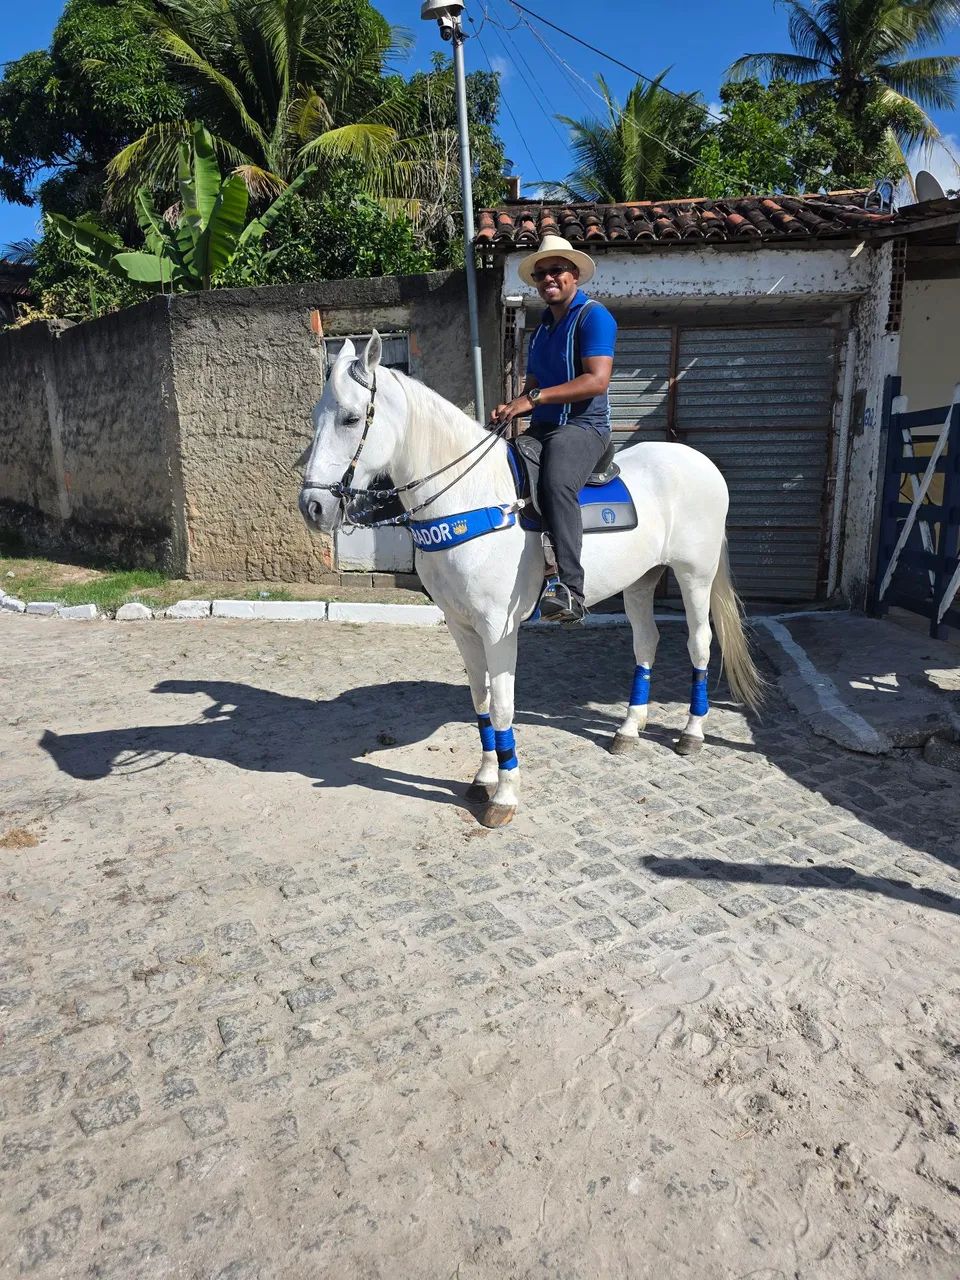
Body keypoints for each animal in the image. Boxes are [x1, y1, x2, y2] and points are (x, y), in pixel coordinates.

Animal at [299, 332, 763, 828]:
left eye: (350, 418)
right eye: (315, 416)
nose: (313, 507)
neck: (470, 498)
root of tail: (700, 463)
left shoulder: (497, 629)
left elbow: (503, 707)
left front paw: (505, 795)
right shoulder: (461, 626)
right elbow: (480, 700)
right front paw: (485, 777)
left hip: (695, 576)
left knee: (699, 644)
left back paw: (692, 733)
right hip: (641, 581)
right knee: (647, 643)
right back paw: (628, 729)